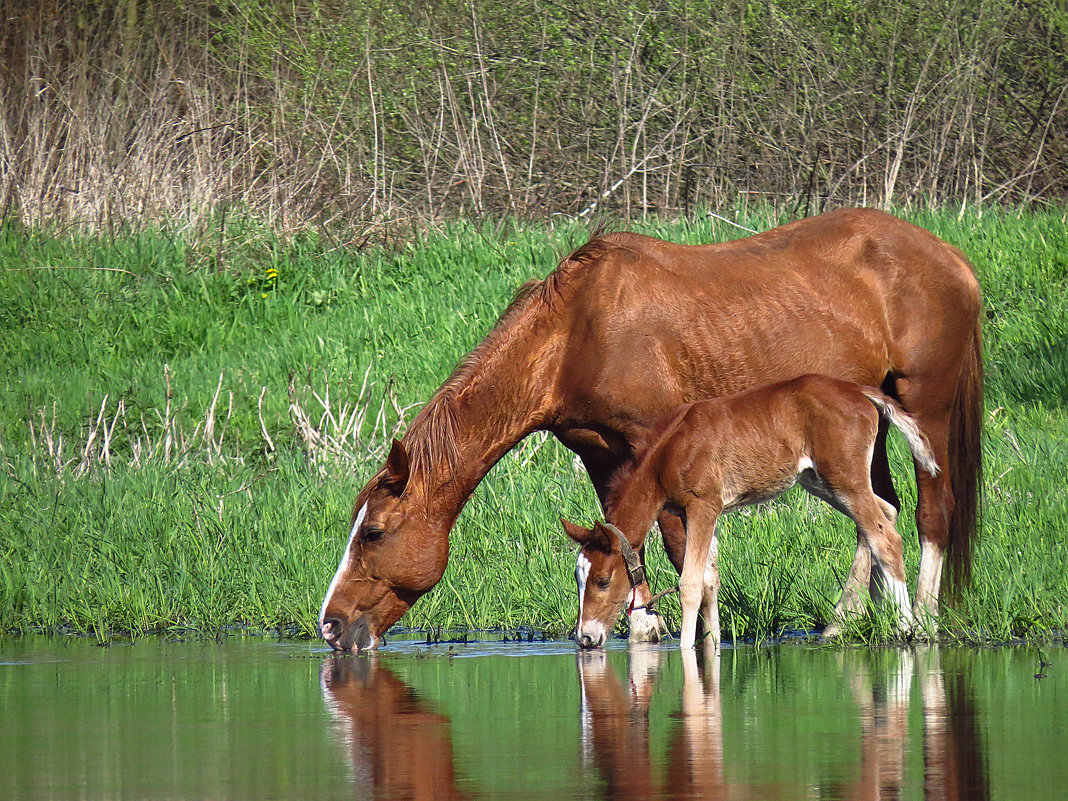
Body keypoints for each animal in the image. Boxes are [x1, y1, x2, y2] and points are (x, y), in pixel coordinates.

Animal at [563, 375, 939, 653]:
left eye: (602, 580)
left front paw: (685, 650)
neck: (668, 451)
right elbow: (710, 580)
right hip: (819, 481)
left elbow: (690, 582)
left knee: (886, 538)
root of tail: (859, 391)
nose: (584, 638)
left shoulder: (702, 505)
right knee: (885, 513)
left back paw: (905, 627)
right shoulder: (699, 513)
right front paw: (712, 646)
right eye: (577, 578)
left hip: (843, 477)